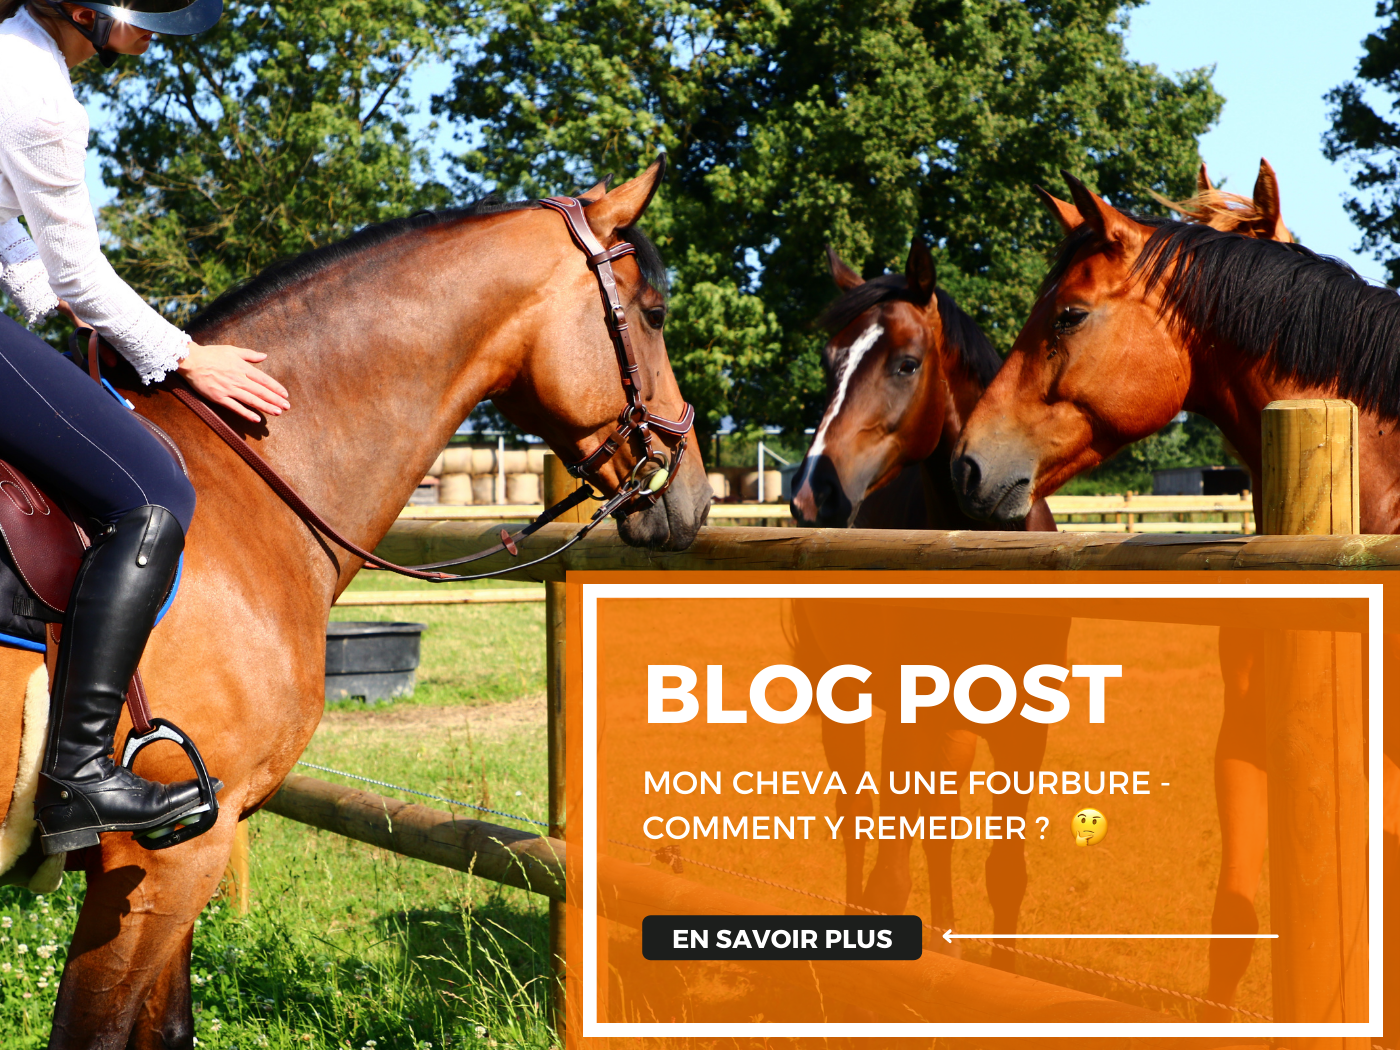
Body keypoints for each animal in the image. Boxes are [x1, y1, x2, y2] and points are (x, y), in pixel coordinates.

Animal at [787, 242, 1065, 971]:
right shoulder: (909, 721)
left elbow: (1005, 871)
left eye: (907, 362)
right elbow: (888, 874)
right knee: (859, 825)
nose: (811, 493)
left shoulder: (1024, 734)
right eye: (829, 360)